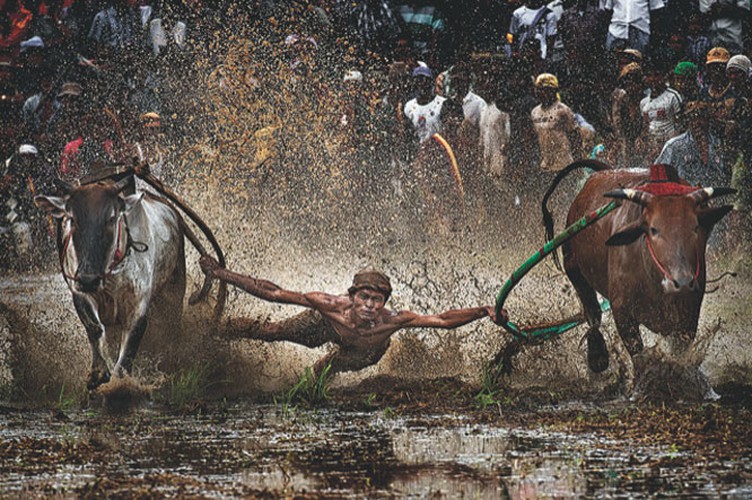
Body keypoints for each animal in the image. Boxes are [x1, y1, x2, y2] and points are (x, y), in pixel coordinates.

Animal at [35, 177, 187, 390]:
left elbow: (133, 338)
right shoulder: (80, 292)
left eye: (111, 218)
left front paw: (120, 380)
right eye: (72, 219)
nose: (88, 279)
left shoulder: (138, 301)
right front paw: (98, 373)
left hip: (174, 290)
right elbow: (95, 328)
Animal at [536, 160, 736, 378]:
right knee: (592, 314)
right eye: (653, 229)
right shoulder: (622, 313)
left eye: (695, 227)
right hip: (573, 266)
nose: (682, 282)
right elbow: (638, 357)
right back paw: (597, 356)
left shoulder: (688, 316)